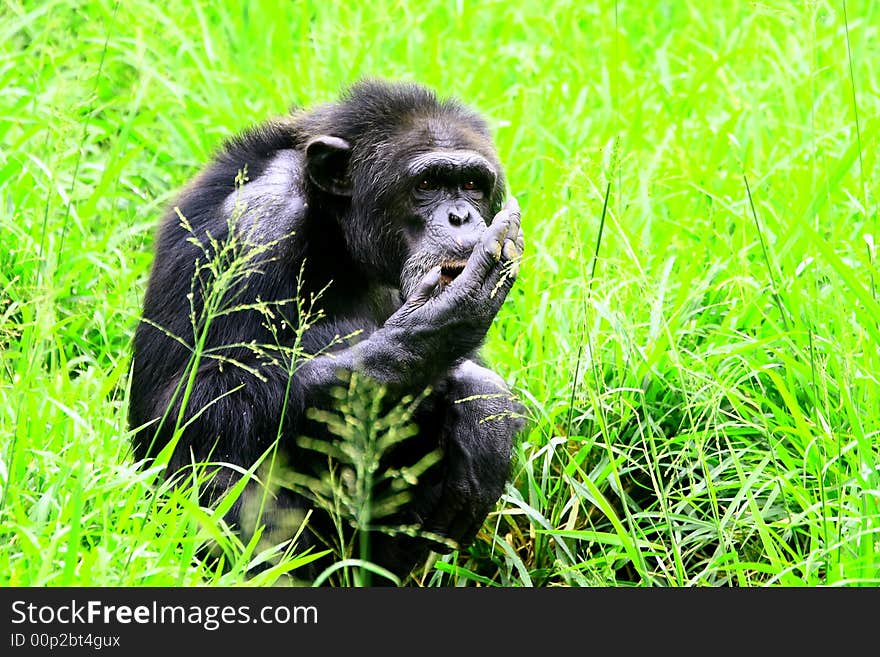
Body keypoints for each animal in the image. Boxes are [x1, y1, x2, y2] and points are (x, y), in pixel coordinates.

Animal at [128, 78, 524, 584]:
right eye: (427, 184)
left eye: (472, 184)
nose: (461, 218)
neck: (339, 231)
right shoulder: (255, 225)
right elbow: (181, 408)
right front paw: (429, 334)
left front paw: (483, 408)